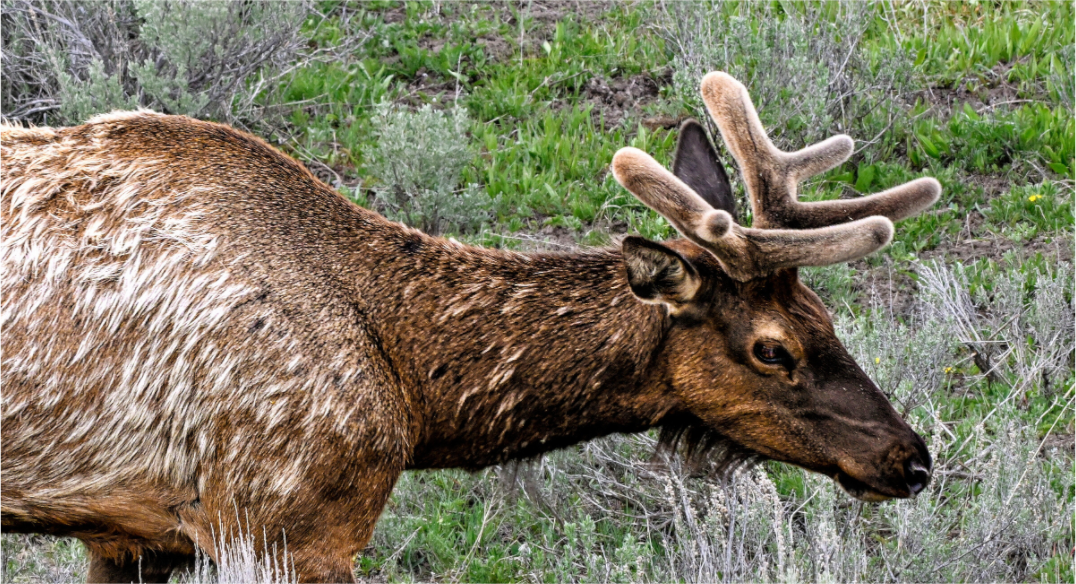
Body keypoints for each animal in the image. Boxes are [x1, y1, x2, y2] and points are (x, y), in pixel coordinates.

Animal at [0, 71, 940, 584]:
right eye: (772, 348)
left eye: (827, 316)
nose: (913, 459)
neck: (418, 399)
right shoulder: (285, 524)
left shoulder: (134, 533)